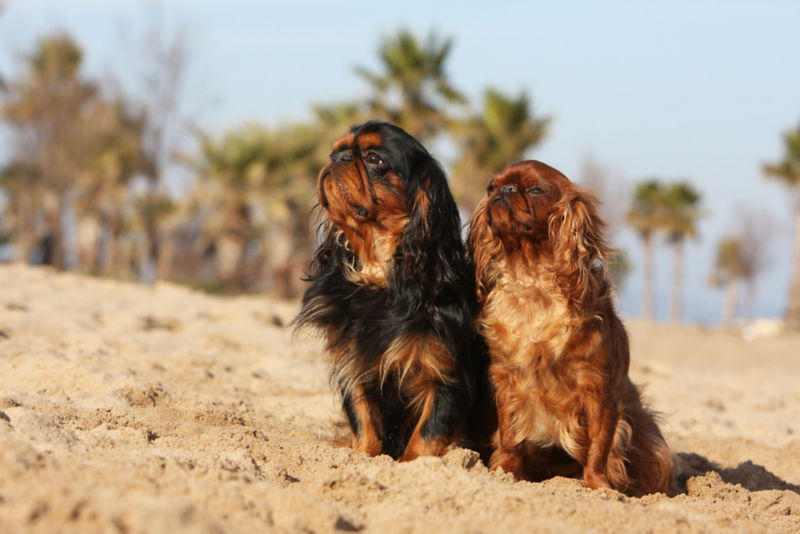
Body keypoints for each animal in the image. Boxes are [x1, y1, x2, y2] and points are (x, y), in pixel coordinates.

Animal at [294, 121, 482, 460]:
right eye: (335, 150)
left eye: (374, 158)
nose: (339, 157)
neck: (377, 273)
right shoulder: (353, 365)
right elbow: (363, 425)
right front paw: (365, 456)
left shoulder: (447, 377)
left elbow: (425, 438)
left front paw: (414, 463)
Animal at [466, 160, 672, 498]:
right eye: (491, 187)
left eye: (536, 189)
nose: (504, 191)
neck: (532, 279)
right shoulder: (507, 381)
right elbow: (510, 437)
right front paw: (502, 473)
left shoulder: (599, 389)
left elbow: (600, 447)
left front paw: (598, 486)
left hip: (652, 446)